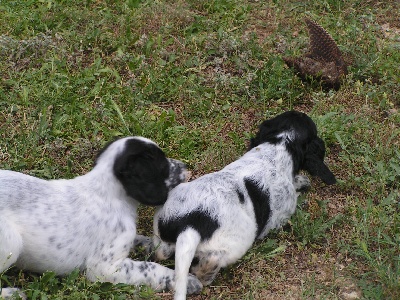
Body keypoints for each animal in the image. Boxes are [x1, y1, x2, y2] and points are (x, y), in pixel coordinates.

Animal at [0, 137, 203, 298]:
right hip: (12, 242)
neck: (109, 194)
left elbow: (140, 241)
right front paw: (186, 281)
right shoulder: (103, 268)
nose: (186, 167)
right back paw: (11, 294)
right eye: (162, 164)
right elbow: (149, 268)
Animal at [153, 110, 338, 300]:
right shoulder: (280, 215)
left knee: (161, 251)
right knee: (211, 262)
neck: (278, 147)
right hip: (237, 242)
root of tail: (192, 223)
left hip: (163, 225)